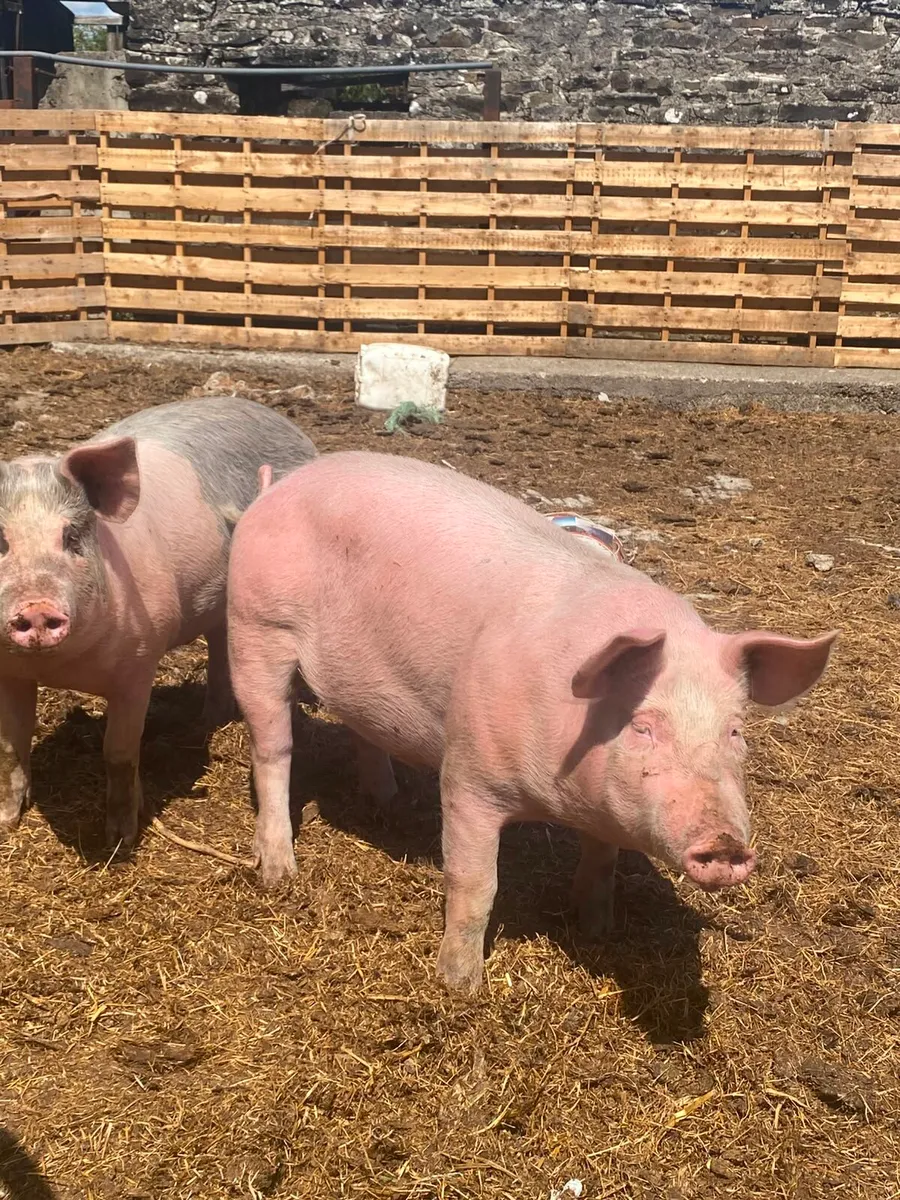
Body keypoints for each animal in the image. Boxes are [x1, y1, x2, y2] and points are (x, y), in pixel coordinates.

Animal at [0, 395, 316, 851]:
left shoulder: (139, 662)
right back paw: (203, 721)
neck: (62, 668)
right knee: (218, 647)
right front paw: (6, 821)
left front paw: (119, 840)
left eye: (72, 536)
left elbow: (118, 752)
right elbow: (11, 746)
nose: (37, 607)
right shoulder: (10, 671)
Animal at [227, 451, 836, 993]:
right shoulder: (468, 773)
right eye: (642, 725)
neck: (563, 797)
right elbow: (475, 884)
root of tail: (278, 487)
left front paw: (596, 930)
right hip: (256, 626)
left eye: (735, 731)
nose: (726, 843)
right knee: (272, 749)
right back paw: (278, 871)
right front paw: (459, 987)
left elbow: (602, 863)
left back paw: (387, 802)